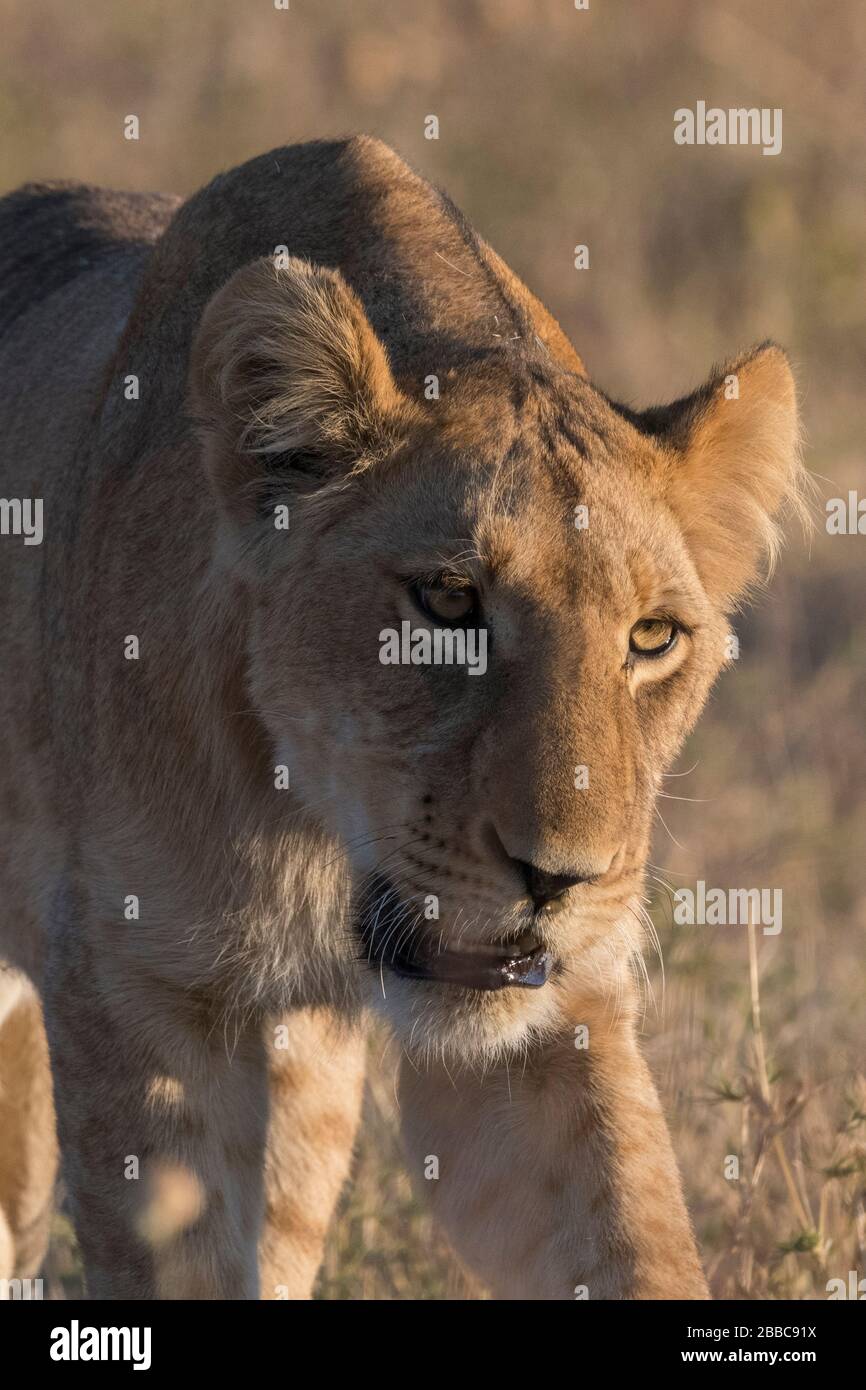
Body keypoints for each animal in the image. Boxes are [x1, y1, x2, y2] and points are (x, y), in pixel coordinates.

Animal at [0, 135, 806, 1295]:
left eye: (652, 637)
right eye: (446, 602)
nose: (559, 880)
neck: (307, 826)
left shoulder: (555, 1020)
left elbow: (631, 1240)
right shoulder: (132, 988)